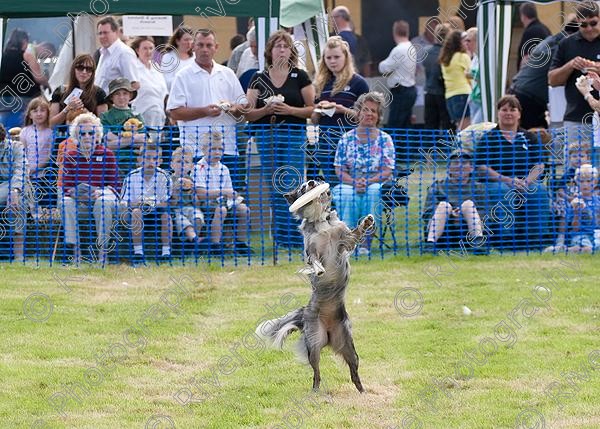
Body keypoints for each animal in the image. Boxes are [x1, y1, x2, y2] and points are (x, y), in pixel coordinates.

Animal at [255, 178, 372, 392]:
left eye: (316, 181)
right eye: (303, 188)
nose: (310, 182)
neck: (321, 221)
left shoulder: (345, 240)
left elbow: (355, 234)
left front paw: (367, 222)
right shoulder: (312, 250)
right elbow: (315, 261)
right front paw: (319, 271)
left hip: (349, 347)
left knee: (354, 373)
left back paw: (363, 392)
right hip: (314, 343)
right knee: (316, 373)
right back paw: (316, 391)